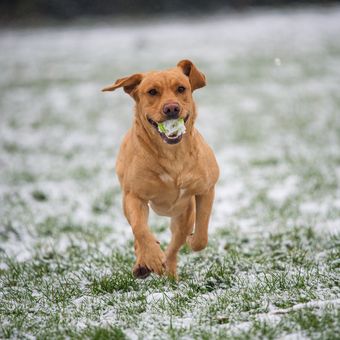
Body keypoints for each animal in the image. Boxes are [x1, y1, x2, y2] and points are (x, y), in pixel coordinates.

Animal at [102, 60, 219, 278]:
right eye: (152, 92)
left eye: (181, 88)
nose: (172, 108)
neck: (172, 155)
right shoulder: (134, 196)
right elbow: (140, 229)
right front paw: (152, 257)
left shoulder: (206, 190)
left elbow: (201, 236)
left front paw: (192, 240)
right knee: (139, 231)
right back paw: (143, 264)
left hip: (183, 214)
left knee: (175, 245)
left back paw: (171, 272)